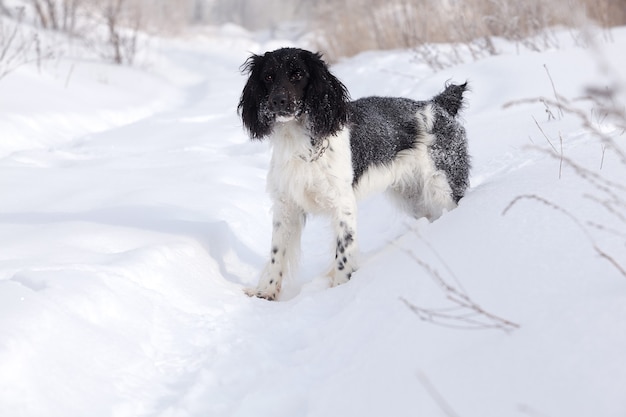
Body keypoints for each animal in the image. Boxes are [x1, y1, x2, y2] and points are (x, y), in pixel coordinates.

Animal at [239, 47, 468, 300]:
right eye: (268, 77)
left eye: (298, 74)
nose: (278, 100)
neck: (302, 143)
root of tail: (437, 105)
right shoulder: (285, 205)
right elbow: (277, 253)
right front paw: (265, 292)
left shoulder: (342, 203)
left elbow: (343, 251)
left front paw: (339, 289)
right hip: (413, 198)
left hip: (443, 185)